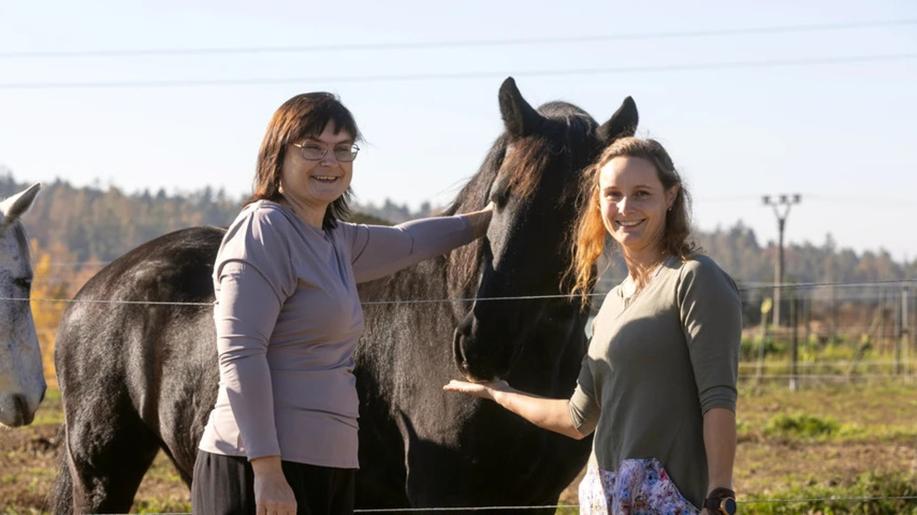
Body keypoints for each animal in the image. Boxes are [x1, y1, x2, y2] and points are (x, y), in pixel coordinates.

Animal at [50, 78, 636, 512]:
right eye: (500, 197)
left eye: (580, 209)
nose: (479, 346)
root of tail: (95, 291)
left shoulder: (531, 498)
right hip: (102, 475)